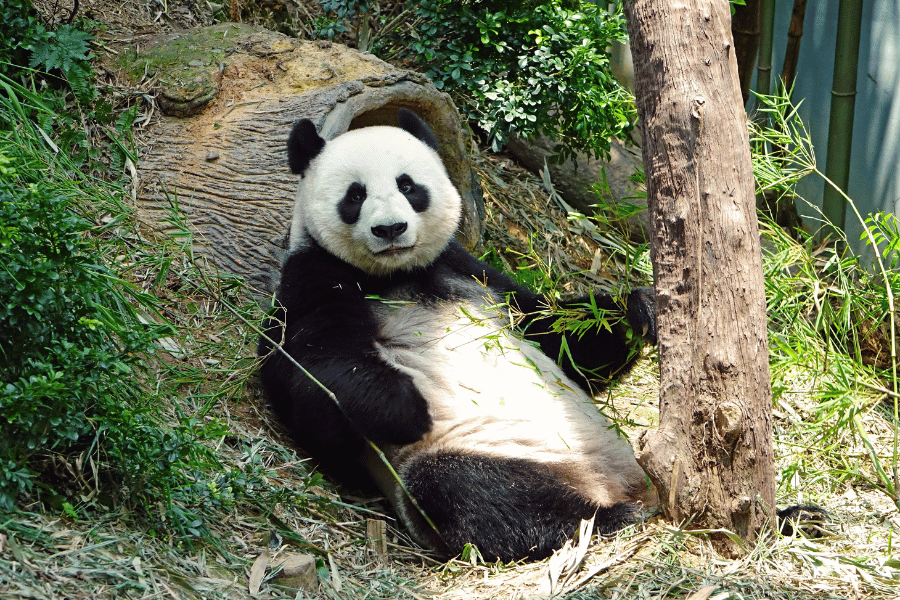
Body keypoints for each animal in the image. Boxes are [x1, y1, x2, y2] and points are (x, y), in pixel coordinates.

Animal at [256, 109, 656, 564]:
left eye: (408, 186)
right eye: (354, 195)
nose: (390, 229)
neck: (396, 274)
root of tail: (603, 482)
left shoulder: (472, 273)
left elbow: (559, 337)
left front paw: (640, 310)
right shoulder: (313, 277)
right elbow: (310, 374)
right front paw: (405, 408)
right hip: (482, 449)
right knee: (474, 492)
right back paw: (605, 518)